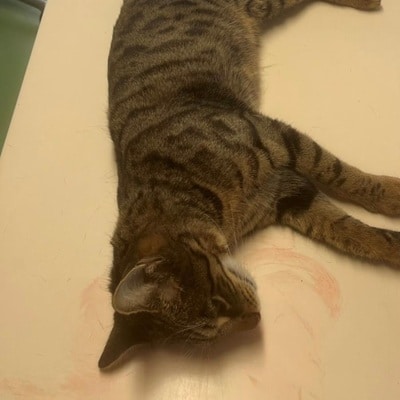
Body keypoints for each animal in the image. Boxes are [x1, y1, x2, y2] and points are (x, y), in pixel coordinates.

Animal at [99, 0, 399, 369]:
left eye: (216, 300)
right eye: (209, 335)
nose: (255, 319)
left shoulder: (275, 137)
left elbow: (342, 175)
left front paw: (393, 195)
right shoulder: (286, 194)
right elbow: (349, 231)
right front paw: (393, 245)